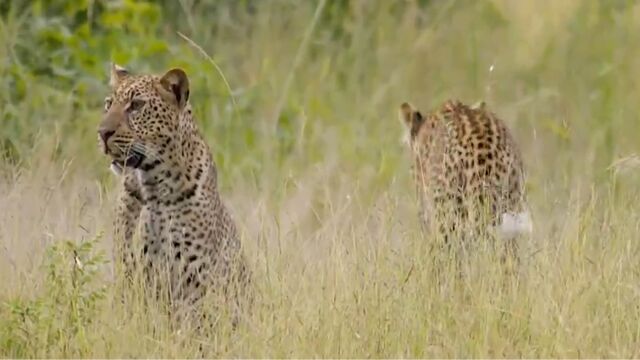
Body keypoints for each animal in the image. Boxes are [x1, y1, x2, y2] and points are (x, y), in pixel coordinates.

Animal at [97, 64, 250, 326]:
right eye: (109, 104)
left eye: (136, 105)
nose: (102, 133)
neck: (149, 186)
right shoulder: (129, 264)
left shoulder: (193, 278)